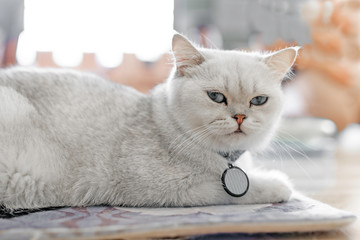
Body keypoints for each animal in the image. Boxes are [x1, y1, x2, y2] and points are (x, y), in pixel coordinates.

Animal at [0, 34, 298, 210]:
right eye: (216, 97)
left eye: (258, 100)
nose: (239, 117)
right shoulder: (177, 191)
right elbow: (248, 190)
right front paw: (281, 184)